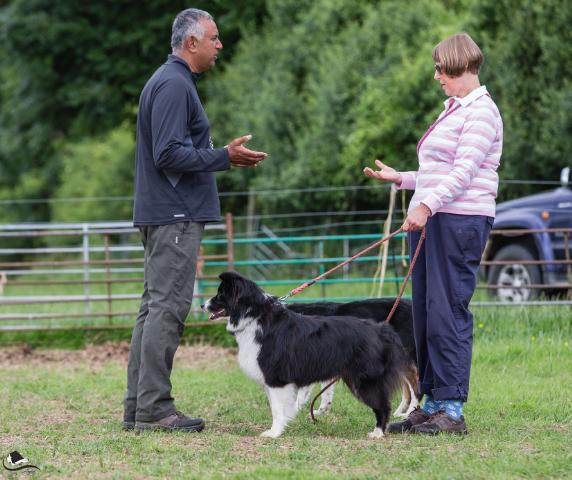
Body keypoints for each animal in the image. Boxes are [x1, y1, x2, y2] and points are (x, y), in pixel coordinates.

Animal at [287, 299, 420, 418]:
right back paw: (399, 412)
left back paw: (410, 411)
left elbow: (301, 396)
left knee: (415, 383)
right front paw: (320, 411)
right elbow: (326, 394)